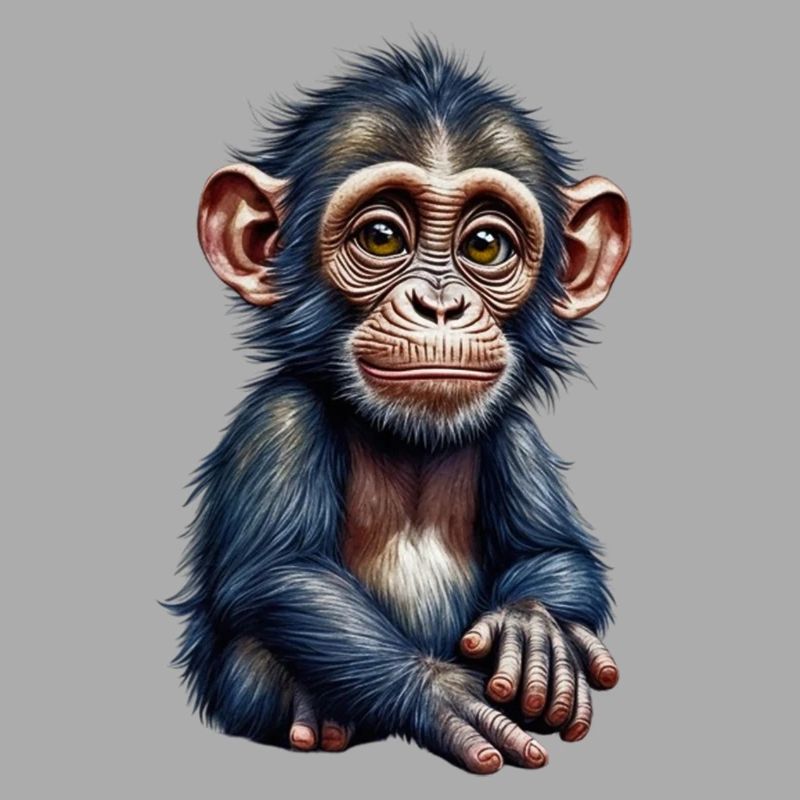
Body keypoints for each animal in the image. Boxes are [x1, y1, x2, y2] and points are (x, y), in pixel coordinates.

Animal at [166, 38, 631, 774]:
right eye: (382, 237)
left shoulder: (518, 435)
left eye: (485, 246)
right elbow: (282, 571)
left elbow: (555, 548)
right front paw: (441, 692)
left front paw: (534, 628)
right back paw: (315, 718)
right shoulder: (279, 422)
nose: (439, 305)